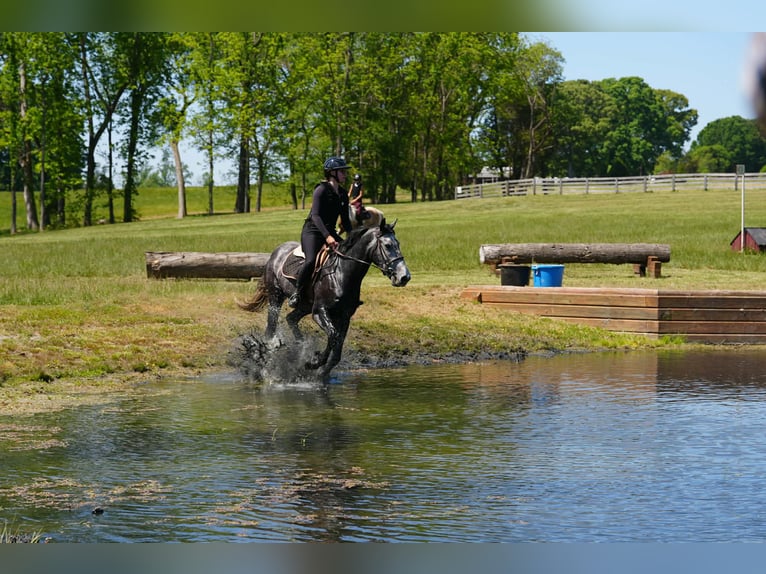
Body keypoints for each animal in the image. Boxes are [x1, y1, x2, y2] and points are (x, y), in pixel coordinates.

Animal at [238, 218, 411, 379]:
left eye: (398, 243)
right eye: (387, 245)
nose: (404, 277)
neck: (342, 273)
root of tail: (276, 252)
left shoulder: (344, 316)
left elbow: (337, 347)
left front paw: (320, 371)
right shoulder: (320, 311)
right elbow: (333, 336)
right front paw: (314, 362)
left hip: (305, 306)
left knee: (291, 318)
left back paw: (300, 347)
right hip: (276, 296)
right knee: (271, 328)